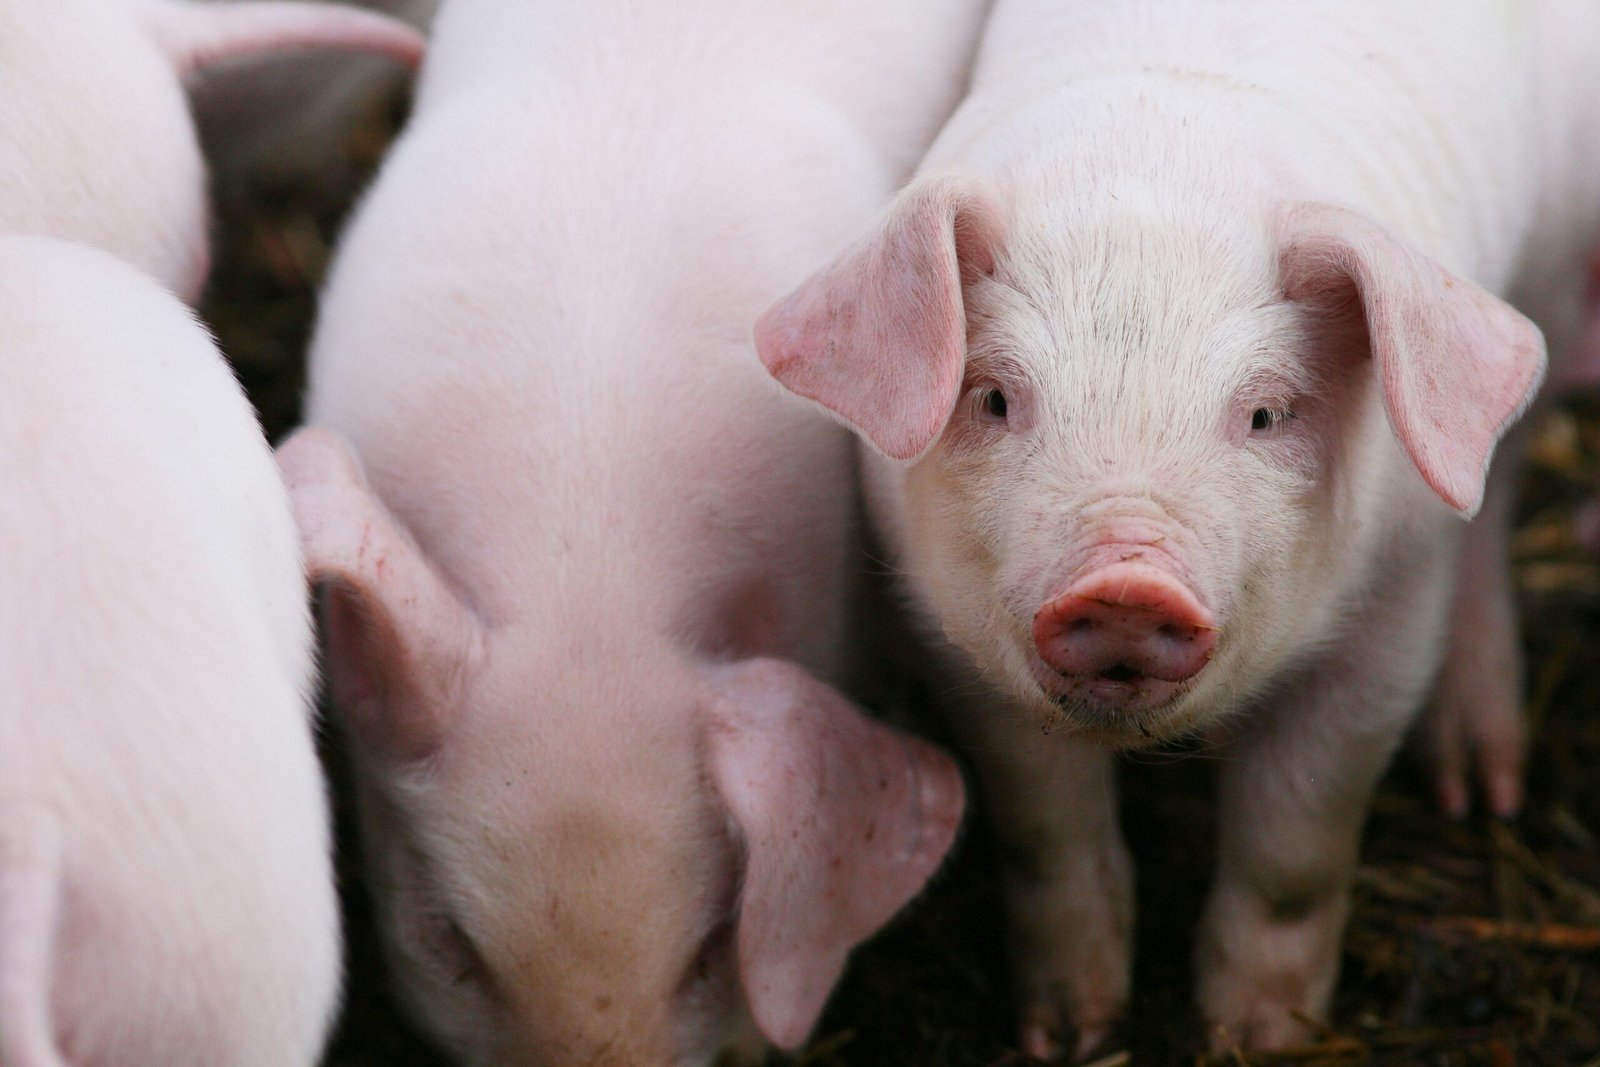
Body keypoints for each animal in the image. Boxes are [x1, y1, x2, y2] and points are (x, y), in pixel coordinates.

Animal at [754, 0, 1600, 1055]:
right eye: (994, 398)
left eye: (1265, 414)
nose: (1126, 583)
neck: (1160, 156)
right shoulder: (955, 641)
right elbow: (1046, 831)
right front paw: (1068, 1034)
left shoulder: (1388, 620)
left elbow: (1295, 849)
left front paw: (1258, 1037)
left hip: (1547, 284)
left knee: (1494, 489)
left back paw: (1480, 791)